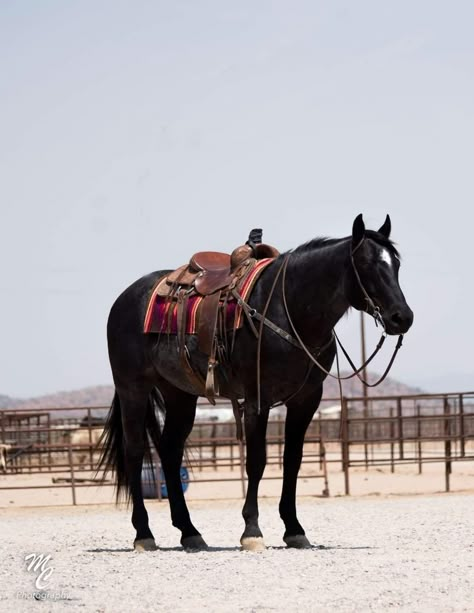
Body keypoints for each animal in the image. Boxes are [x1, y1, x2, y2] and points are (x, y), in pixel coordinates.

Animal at [99, 214, 412, 548]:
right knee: (134, 451)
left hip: (180, 394)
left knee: (170, 451)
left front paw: (294, 528)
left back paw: (190, 532)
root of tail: (124, 299)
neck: (289, 310)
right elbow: (257, 462)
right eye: (366, 264)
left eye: (396, 264)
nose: (402, 317)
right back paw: (144, 534)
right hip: (133, 388)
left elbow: (292, 460)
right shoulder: (256, 399)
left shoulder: (306, 400)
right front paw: (252, 530)